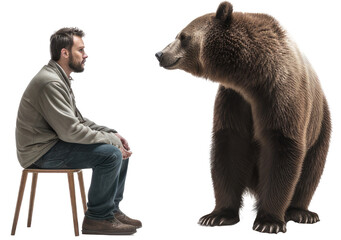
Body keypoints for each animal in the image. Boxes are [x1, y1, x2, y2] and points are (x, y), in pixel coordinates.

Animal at [156, 1, 330, 234]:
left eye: (183, 36)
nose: (159, 54)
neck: (252, 77)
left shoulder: (281, 95)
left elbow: (282, 147)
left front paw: (268, 221)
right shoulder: (234, 100)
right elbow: (229, 148)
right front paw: (217, 215)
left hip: (320, 125)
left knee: (310, 170)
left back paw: (301, 212)